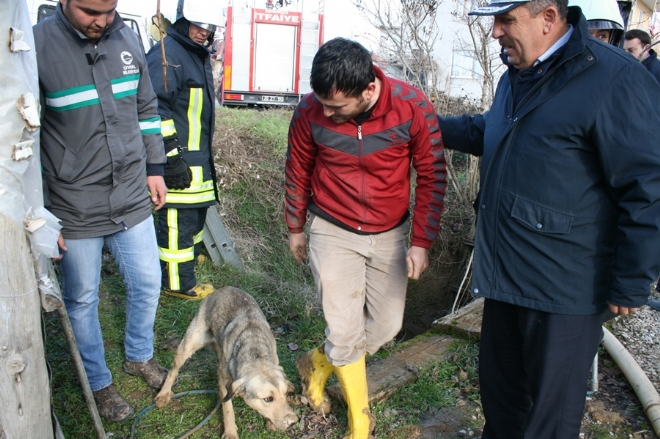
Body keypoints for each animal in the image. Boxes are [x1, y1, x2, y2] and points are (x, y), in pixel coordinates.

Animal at [153, 288, 298, 438]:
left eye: (286, 394)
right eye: (268, 399)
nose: (294, 422)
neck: (255, 352)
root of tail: (223, 288)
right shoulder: (224, 381)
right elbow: (227, 407)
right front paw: (230, 432)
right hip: (188, 346)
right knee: (173, 371)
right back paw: (163, 394)